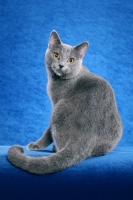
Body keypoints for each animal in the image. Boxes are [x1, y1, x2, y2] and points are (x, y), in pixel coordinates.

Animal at [7, 30, 122, 174]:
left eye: (70, 60)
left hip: (59, 109)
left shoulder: (56, 102)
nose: (61, 65)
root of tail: (87, 136)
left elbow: (48, 131)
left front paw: (36, 145)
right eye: (56, 55)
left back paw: (55, 149)